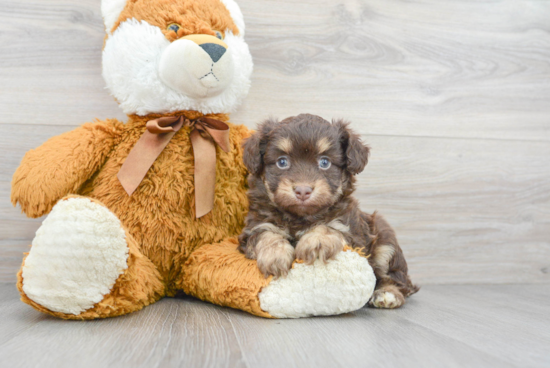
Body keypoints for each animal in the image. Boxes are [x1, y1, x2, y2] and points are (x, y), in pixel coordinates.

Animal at [239, 114, 420, 308]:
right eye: (282, 162)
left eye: (324, 162)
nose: (303, 190)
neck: (300, 217)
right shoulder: (255, 226)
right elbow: (265, 234)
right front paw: (275, 255)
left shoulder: (352, 232)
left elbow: (330, 227)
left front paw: (317, 241)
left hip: (385, 240)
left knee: (396, 278)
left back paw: (388, 294)